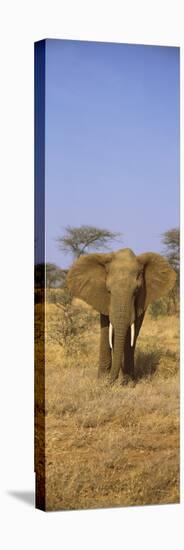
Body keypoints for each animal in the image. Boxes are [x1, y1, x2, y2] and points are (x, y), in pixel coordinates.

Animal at [67, 249, 176, 384]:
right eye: (108, 291)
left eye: (136, 291)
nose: (110, 381)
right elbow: (106, 329)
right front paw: (102, 380)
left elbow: (131, 332)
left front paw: (128, 382)